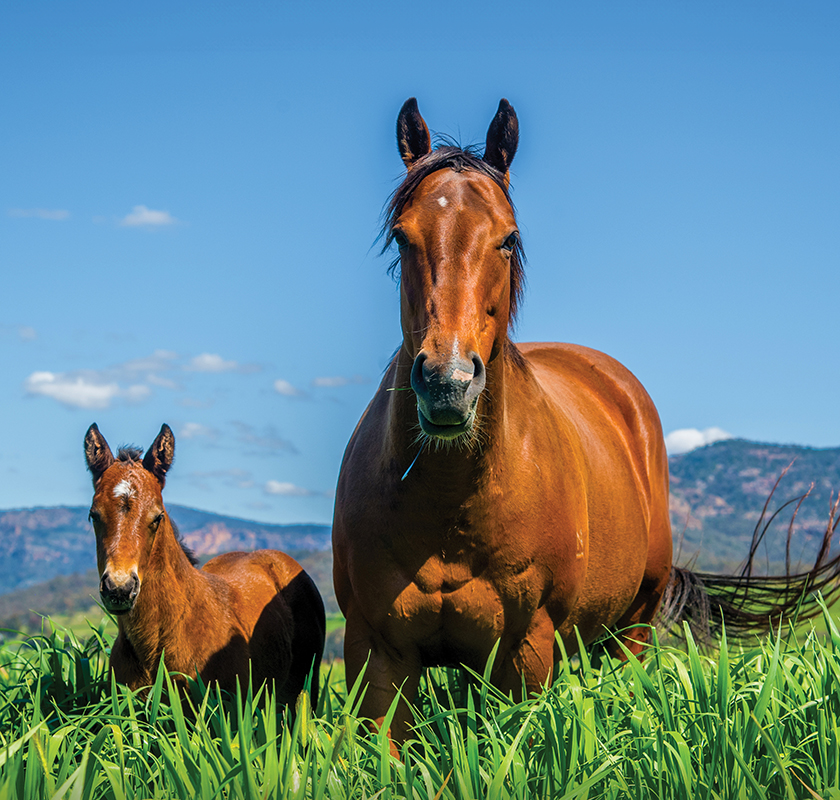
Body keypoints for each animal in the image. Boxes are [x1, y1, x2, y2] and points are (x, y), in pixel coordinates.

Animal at [332, 98, 840, 744]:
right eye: (402, 237)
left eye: (508, 238)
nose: (448, 383)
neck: (449, 503)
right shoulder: (376, 657)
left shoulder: (526, 652)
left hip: (632, 630)